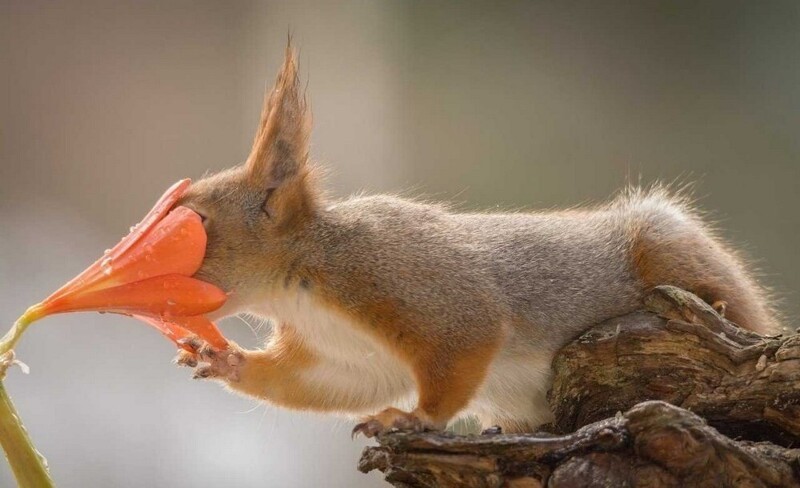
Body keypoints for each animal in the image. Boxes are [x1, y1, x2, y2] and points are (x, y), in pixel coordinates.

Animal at [173, 44, 780, 434]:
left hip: (665, 248)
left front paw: (416, 418)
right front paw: (224, 360)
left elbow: (467, 341)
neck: (299, 281)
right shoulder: (342, 356)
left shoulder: (406, 277)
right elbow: (320, 385)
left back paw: (724, 308)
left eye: (197, 222)